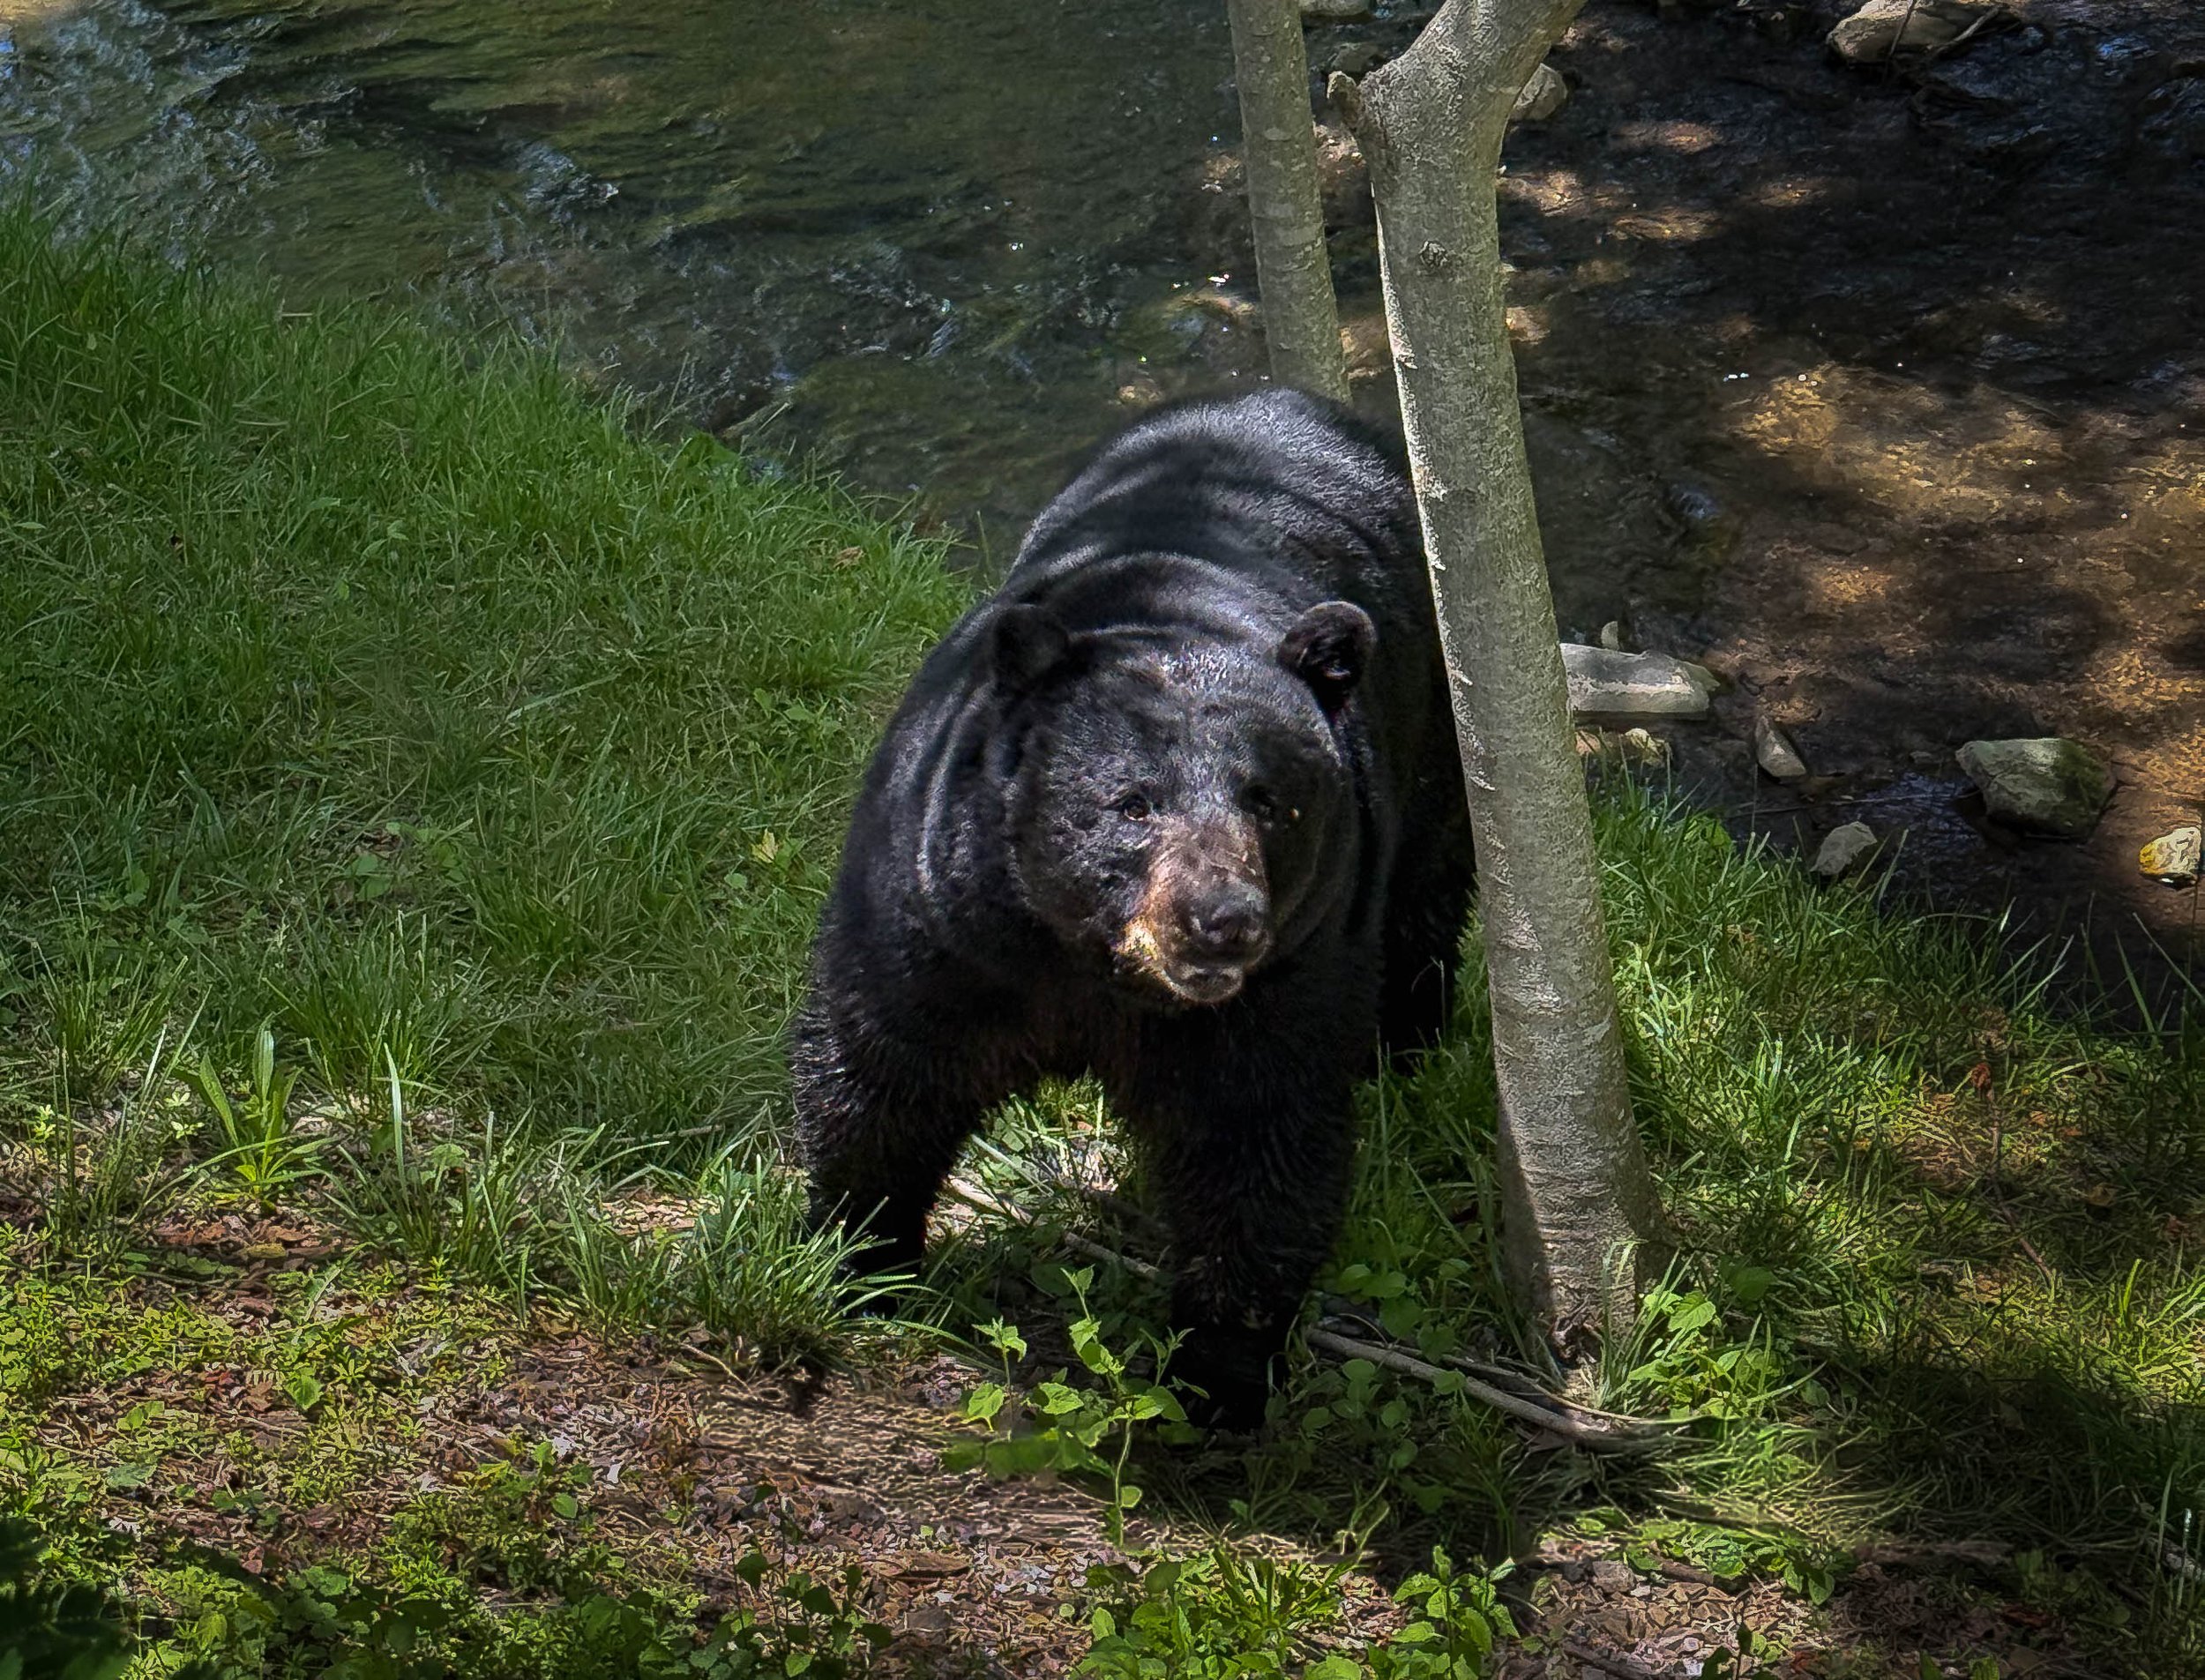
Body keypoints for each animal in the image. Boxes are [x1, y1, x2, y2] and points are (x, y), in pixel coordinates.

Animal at [792, 387, 1472, 1425]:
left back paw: (1408, 1039)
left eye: (1269, 800)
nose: (1222, 918)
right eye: (1132, 802)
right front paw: (859, 1256)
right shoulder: (943, 921)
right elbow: (882, 1072)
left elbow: (1257, 1145)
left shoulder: (1290, 973)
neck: (1090, 966)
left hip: (1429, 735)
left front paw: (1219, 1372)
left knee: (1426, 898)